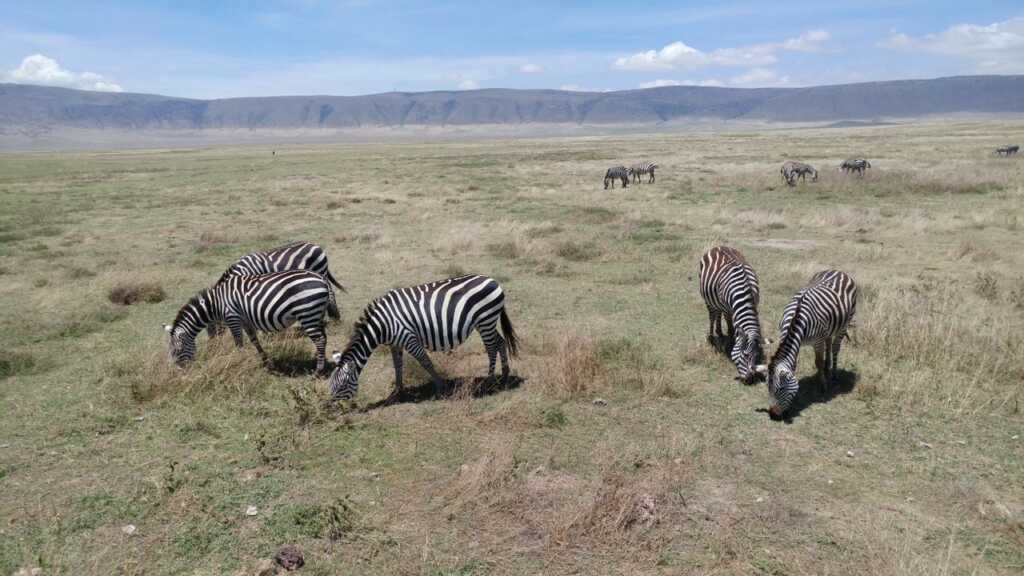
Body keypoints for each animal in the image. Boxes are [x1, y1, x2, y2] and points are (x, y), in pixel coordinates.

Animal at [164, 270, 332, 373]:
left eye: (177, 351)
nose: (180, 371)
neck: (216, 305)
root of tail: (321, 278)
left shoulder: (232, 318)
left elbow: (239, 343)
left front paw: (238, 363)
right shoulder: (245, 320)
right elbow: (254, 341)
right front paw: (267, 363)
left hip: (307, 312)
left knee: (319, 340)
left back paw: (318, 371)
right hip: (316, 314)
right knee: (324, 338)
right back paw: (320, 363)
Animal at [328, 274, 519, 403]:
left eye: (342, 386)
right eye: (331, 385)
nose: (330, 407)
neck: (382, 325)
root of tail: (493, 281)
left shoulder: (408, 338)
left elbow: (425, 362)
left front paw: (441, 387)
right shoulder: (394, 344)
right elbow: (397, 365)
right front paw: (397, 392)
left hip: (486, 320)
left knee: (491, 348)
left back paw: (489, 381)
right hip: (486, 322)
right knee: (500, 342)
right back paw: (504, 374)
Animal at [699, 246, 766, 384]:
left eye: (757, 356)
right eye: (745, 355)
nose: (749, 380)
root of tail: (718, 246)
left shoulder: (754, 304)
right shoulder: (728, 308)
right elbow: (731, 327)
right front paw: (730, 343)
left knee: (718, 314)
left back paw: (719, 332)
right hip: (709, 299)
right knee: (712, 315)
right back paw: (713, 335)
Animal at [754, 270, 858, 418]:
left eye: (780, 389)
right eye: (768, 387)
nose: (773, 414)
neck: (796, 321)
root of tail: (839, 271)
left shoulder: (817, 341)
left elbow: (818, 362)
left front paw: (823, 386)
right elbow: (795, 365)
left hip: (844, 325)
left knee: (835, 348)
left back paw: (833, 374)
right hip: (830, 328)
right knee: (829, 343)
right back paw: (827, 367)